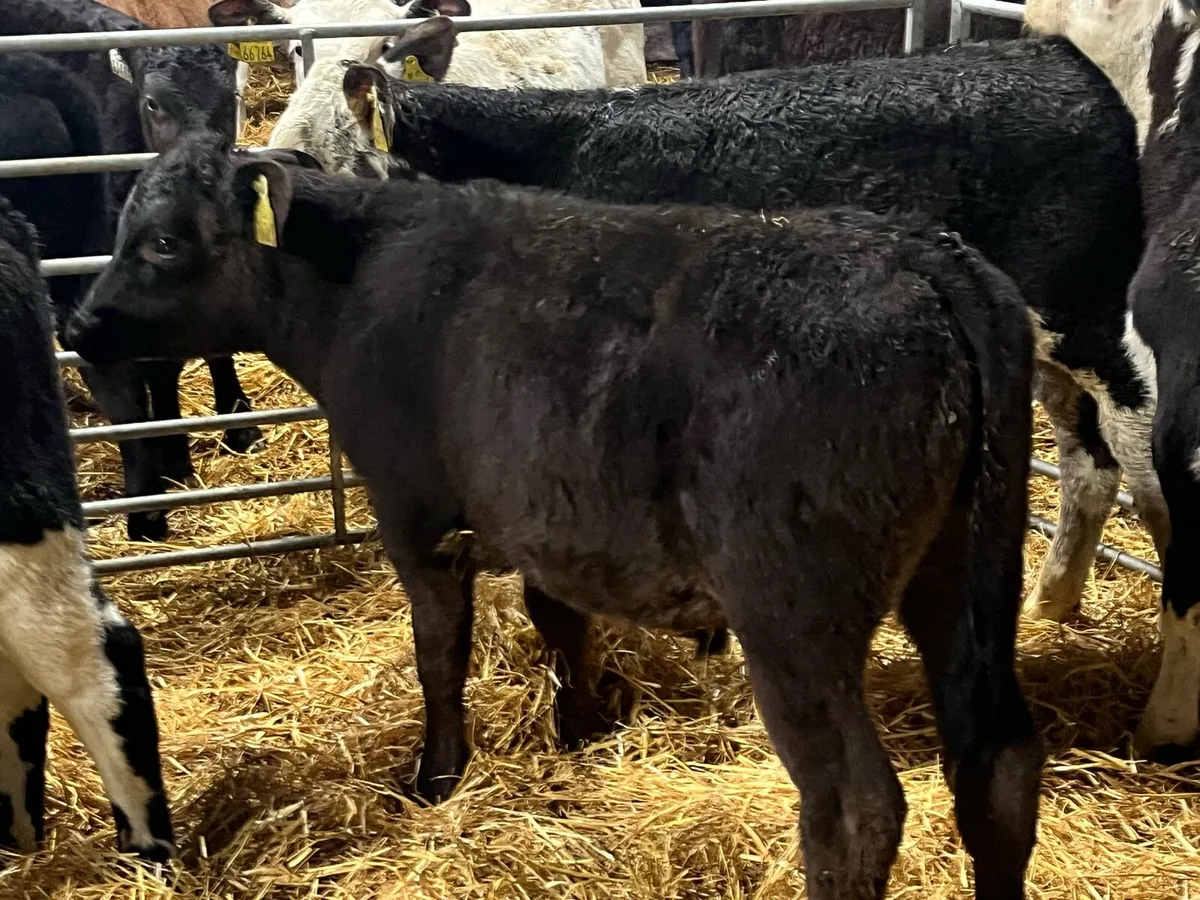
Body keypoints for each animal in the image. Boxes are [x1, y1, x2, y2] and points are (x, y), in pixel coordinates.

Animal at [65, 132, 1042, 900]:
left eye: (161, 241)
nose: (80, 323)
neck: (354, 283)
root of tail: (920, 253)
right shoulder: (553, 520)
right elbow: (559, 620)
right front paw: (578, 731)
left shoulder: (414, 514)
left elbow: (440, 652)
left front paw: (437, 776)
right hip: (965, 570)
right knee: (998, 765)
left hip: (793, 614)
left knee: (855, 806)